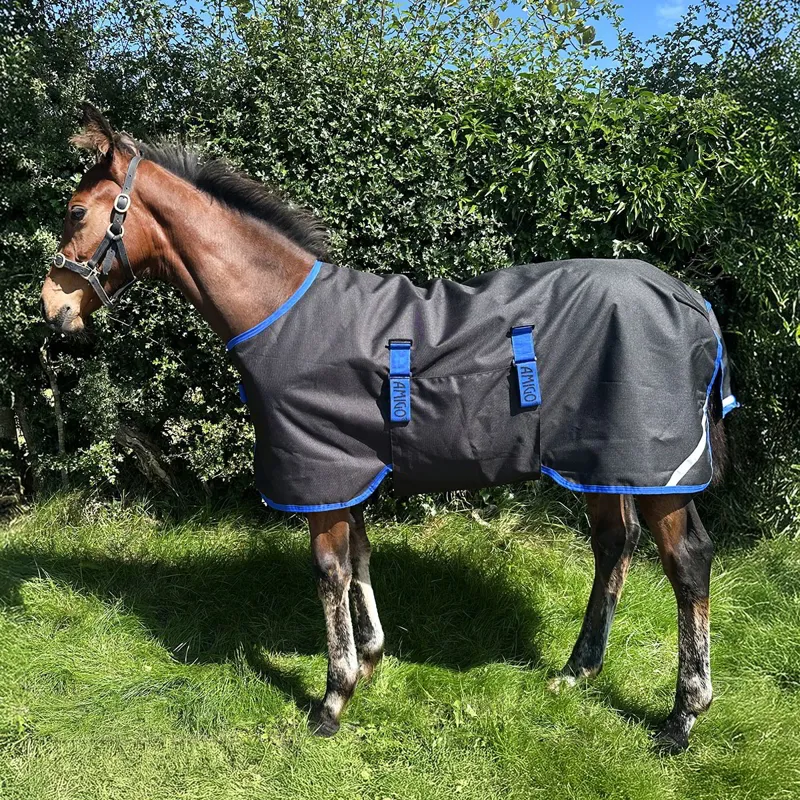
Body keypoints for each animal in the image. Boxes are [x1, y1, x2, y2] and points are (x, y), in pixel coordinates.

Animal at [40, 105, 737, 752]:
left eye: (76, 211)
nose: (53, 308)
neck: (283, 312)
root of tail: (692, 300)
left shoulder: (321, 474)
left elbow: (329, 571)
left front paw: (333, 697)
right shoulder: (347, 471)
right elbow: (359, 555)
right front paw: (372, 659)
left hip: (658, 470)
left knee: (687, 563)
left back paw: (683, 716)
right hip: (603, 463)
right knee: (615, 546)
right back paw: (577, 671)